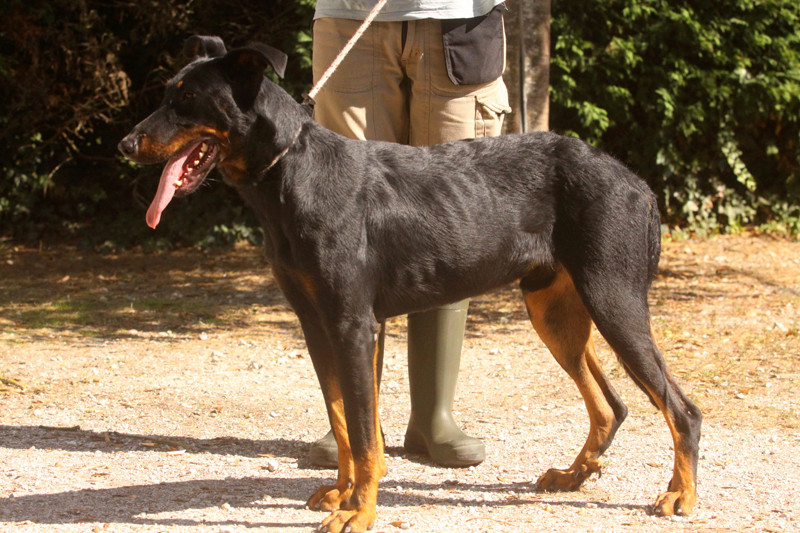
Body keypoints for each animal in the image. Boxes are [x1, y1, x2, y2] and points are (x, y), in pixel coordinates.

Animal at [119, 37, 700, 532]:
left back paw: (680, 495)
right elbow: (345, 422)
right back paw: (573, 476)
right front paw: (343, 494)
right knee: (611, 406)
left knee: (681, 409)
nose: (125, 143)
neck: (292, 174)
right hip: (553, 310)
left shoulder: (354, 325)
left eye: (188, 99)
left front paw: (358, 511)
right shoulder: (317, 325)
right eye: (168, 93)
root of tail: (638, 183)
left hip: (613, 299)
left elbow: (364, 432)